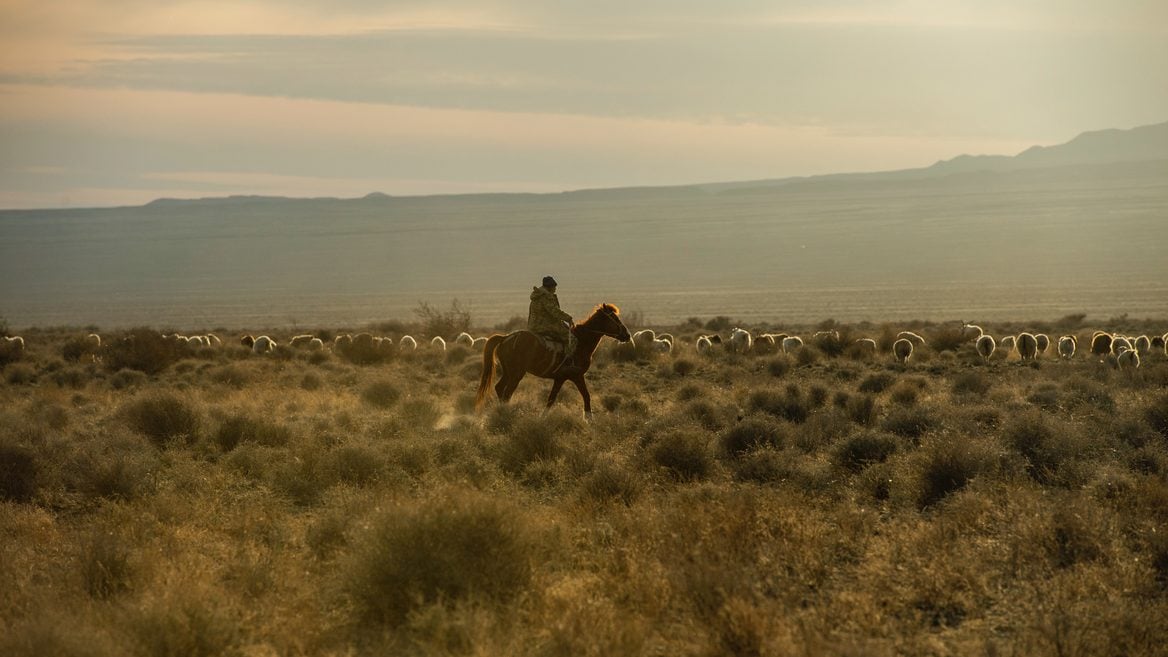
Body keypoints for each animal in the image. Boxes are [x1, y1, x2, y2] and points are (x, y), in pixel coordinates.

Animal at [476, 301, 630, 413]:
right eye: (614, 318)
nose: (627, 335)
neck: (581, 342)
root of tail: (506, 338)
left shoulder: (560, 378)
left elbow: (551, 399)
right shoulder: (577, 376)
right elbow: (586, 396)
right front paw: (588, 419)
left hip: (508, 372)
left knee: (499, 388)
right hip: (516, 373)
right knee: (507, 393)